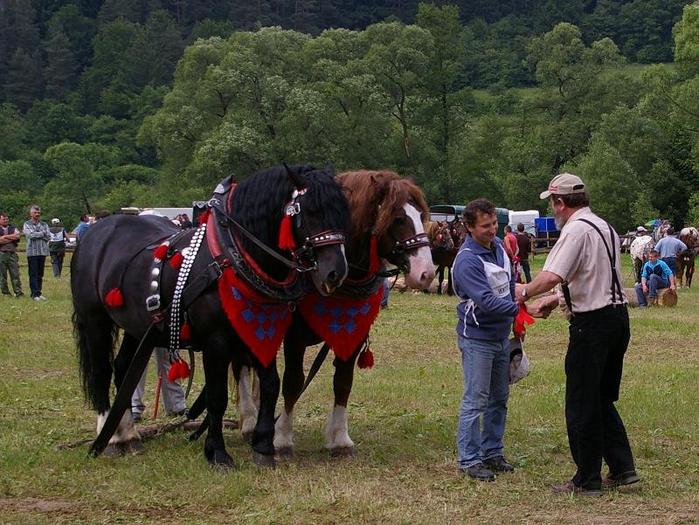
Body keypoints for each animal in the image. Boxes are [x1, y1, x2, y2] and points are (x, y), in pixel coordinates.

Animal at [72, 165, 350, 466]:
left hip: (138, 327)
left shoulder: (264, 334)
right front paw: (217, 452)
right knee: (102, 371)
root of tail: (96, 231)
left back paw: (129, 435)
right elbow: (217, 397)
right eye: (310, 211)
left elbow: (270, 386)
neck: (233, 255)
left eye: (342, 212)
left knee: (124, 368)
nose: (336, 272)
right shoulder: (215, 342)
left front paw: (264, 446)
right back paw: (110, 436)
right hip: (95, 320)